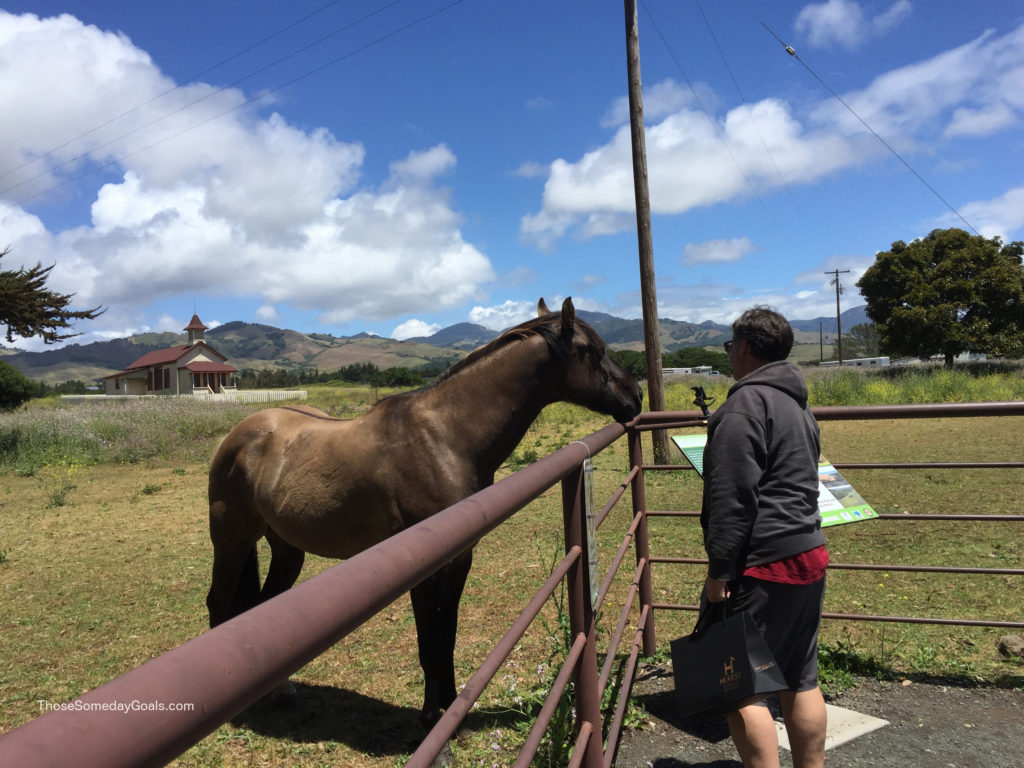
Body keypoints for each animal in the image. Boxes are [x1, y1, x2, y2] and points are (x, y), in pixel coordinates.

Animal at [203, 296, 643, 733]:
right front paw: (432, 717)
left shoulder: (459, 557)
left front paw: (449, 707)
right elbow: (429, 637)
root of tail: (238, 434)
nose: (636, 394)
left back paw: (282, 693)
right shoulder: (425, 566)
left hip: (286, 548)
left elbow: (447, 632)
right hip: (231, 540)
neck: (446, 437)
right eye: (595, 350)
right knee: (219, 602)